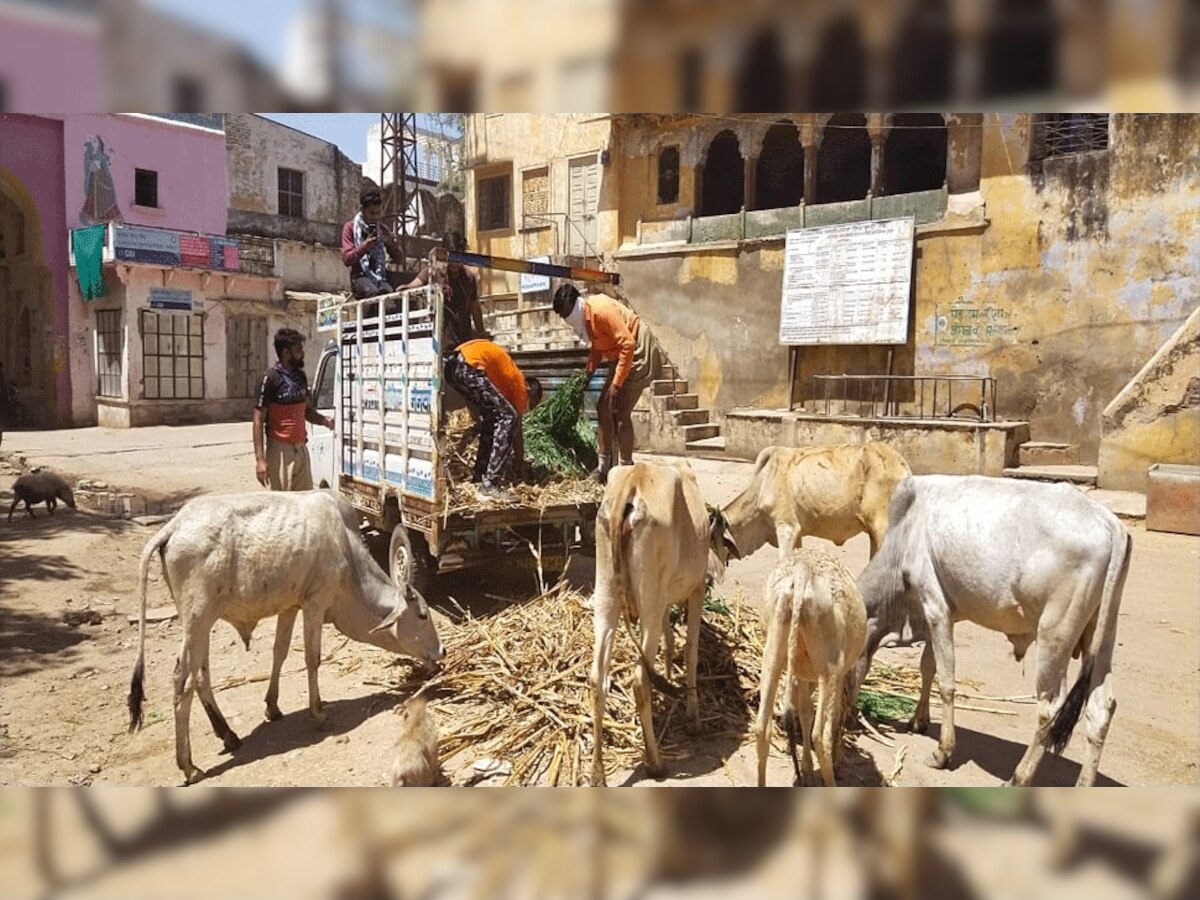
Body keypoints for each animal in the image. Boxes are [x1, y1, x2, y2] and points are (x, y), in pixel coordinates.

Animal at [129, 489, 446, 787]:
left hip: (201, 626)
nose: (442, 651)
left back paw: (228, 735)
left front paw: (272, 707)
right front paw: (318, 713)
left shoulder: (291, 606)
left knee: (200, 676)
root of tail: (173, 525)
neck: (345, 549)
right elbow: (312, 658)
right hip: (197, 619)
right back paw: (189, 765)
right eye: (422, 615)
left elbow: (279, 651)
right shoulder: (315, 602)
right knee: (182, 681)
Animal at [590, 460, 739, 787]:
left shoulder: (665, 600)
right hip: (649, 601)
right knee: (638, 680)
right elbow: (690, 650)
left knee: (598, 680)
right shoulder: (695, 591)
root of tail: (633, 480)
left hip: (607, 597)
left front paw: (669, 676)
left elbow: (670, 643)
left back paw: (597, 773)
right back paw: (655, 762)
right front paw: (694, 717)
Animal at [758, 547, 864, 787]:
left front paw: (805, 771)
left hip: (773, 655)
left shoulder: (803, 674)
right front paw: (835, 762)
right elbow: (833, 717)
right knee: (820, 735)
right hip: (829, 666)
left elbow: (805, 712)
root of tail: (801, 572)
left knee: (762, 729)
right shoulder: (839, 675)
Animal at [849, 475, 1128, 787]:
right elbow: (928, 667)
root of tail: (1110, 524)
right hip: (1101, 634)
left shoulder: (935, 607)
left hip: (1055, 634)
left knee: (1050, 707)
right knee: (1101, 709)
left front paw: (942, 752)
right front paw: (918, 721)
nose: (849, 716)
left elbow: (946, 681)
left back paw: (1019, 777)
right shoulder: (941, 614)